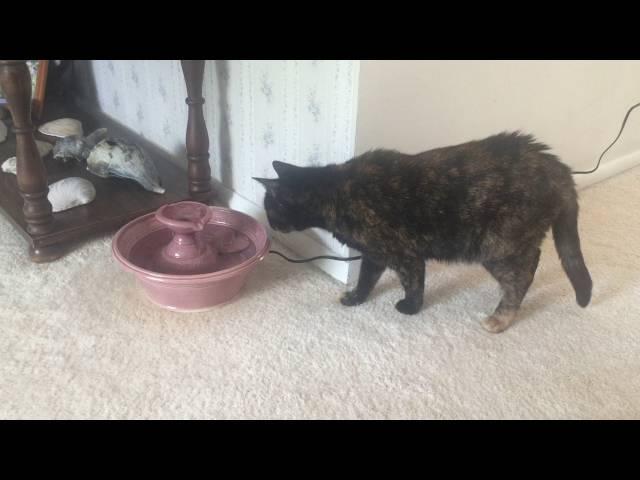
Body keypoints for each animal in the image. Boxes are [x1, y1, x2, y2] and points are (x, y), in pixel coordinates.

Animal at [252, 132, 592, 334]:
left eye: (271, 208)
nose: (272, 224)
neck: (336, 192)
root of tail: (557, 167)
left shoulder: (405, 253)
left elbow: (414, 283)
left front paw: (410, 309)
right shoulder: (375, 254)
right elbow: (366, 278)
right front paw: (356, 298)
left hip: (497, 247)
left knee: (524, 273)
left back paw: (500, 318)